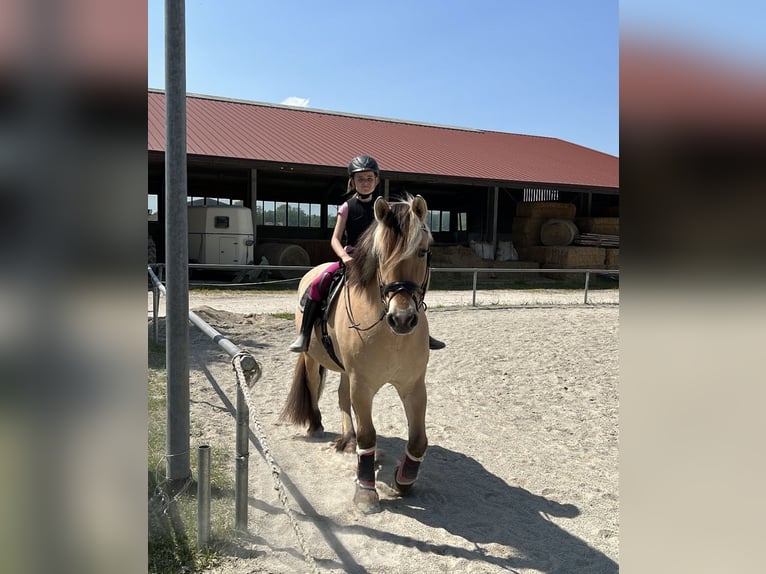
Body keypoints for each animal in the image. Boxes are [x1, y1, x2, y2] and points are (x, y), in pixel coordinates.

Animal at [281, 194, 433, 514]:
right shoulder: (362, 386)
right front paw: (365, 491)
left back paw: (347, 438)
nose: (402, 319)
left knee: (341, 395)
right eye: (381, 255)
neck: (389, 333)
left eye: (423, 252)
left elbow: (417, 440)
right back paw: (316, 425)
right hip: (313, 360)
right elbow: (368, 435)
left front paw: (403, 481)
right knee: (313, 387)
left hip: (345, 371)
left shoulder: (413, 386)